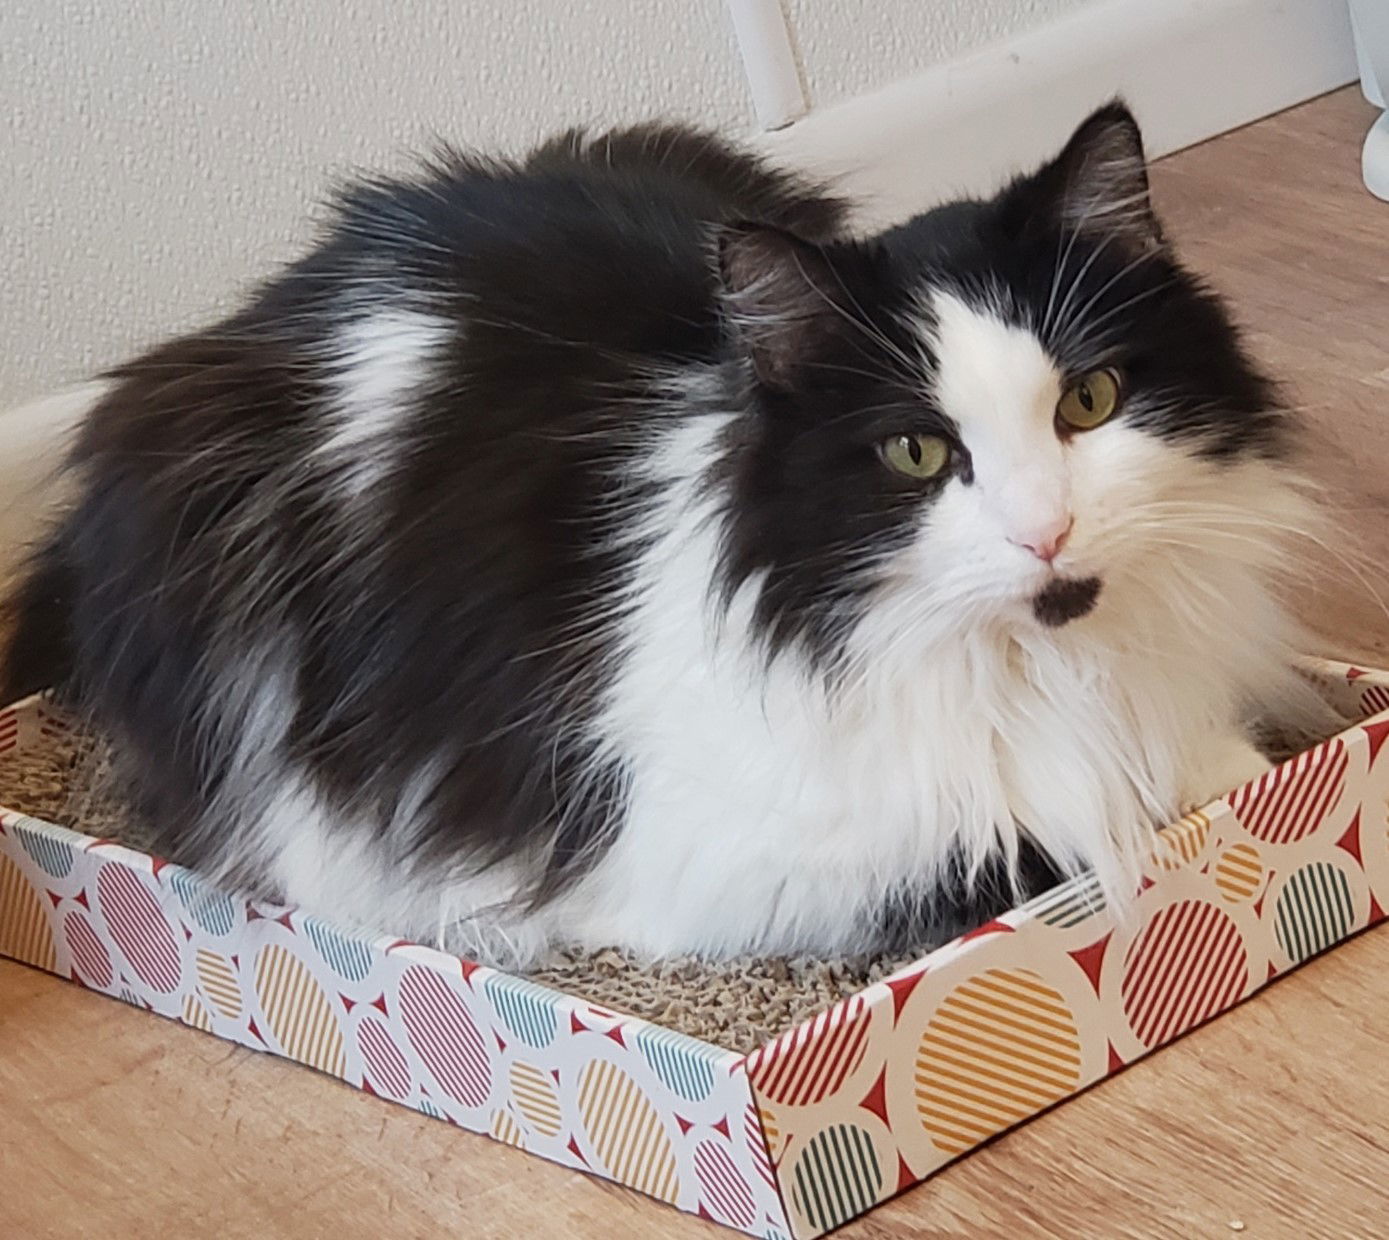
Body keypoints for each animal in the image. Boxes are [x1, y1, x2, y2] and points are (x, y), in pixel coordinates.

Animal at [2, 99, 1322, 966]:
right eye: (917, 453)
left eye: (1088, 402)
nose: (1047, 530)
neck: (1046, 674)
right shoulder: (716, 870)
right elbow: (1015, 845)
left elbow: (1222, 768)